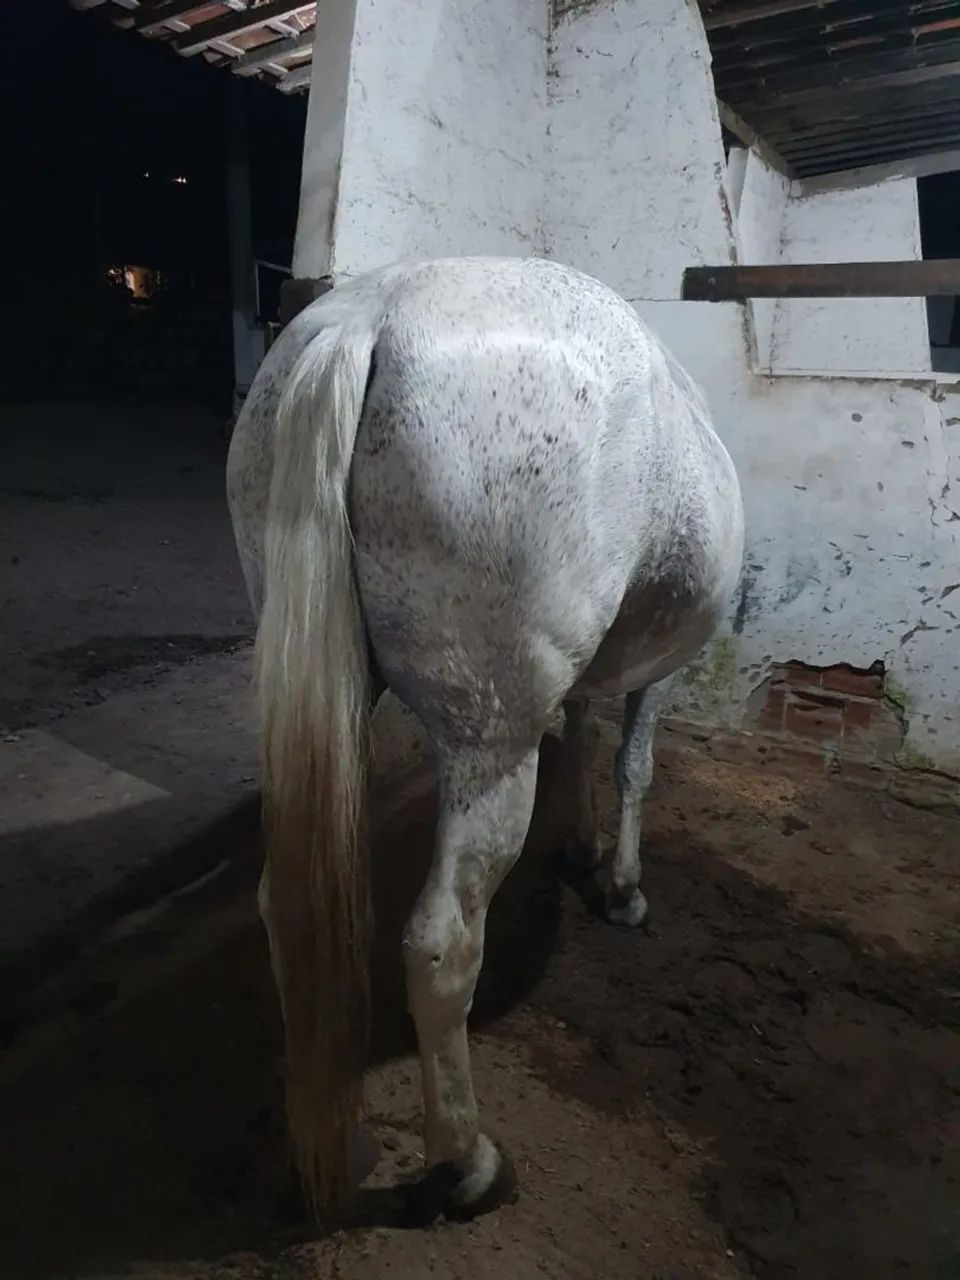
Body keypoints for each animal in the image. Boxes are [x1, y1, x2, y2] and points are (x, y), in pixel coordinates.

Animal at [226, 255, 744, 1223]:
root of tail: (368, 315)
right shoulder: (656, 672)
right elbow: (634, 765)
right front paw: (622, 885)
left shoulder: (586, 679)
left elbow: (585, 734)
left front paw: (580, 847)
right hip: (489, 743)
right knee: (440, 943)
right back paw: (465, 1161)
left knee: (284, 907)